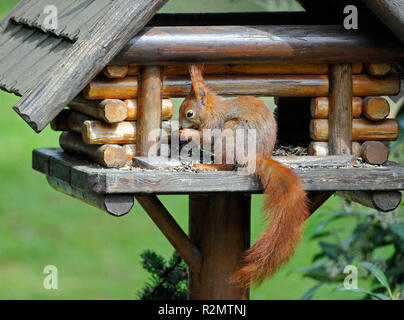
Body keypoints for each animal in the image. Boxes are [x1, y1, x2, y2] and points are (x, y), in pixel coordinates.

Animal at [178, 65, 308, 288]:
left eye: (189, 113)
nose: (179, 124)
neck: (211, 110)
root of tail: (258, 157)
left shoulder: (214, 125)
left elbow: (206, 137)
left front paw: (185, 133)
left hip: (231, 131)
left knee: (227, 164)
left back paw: (208, 166)